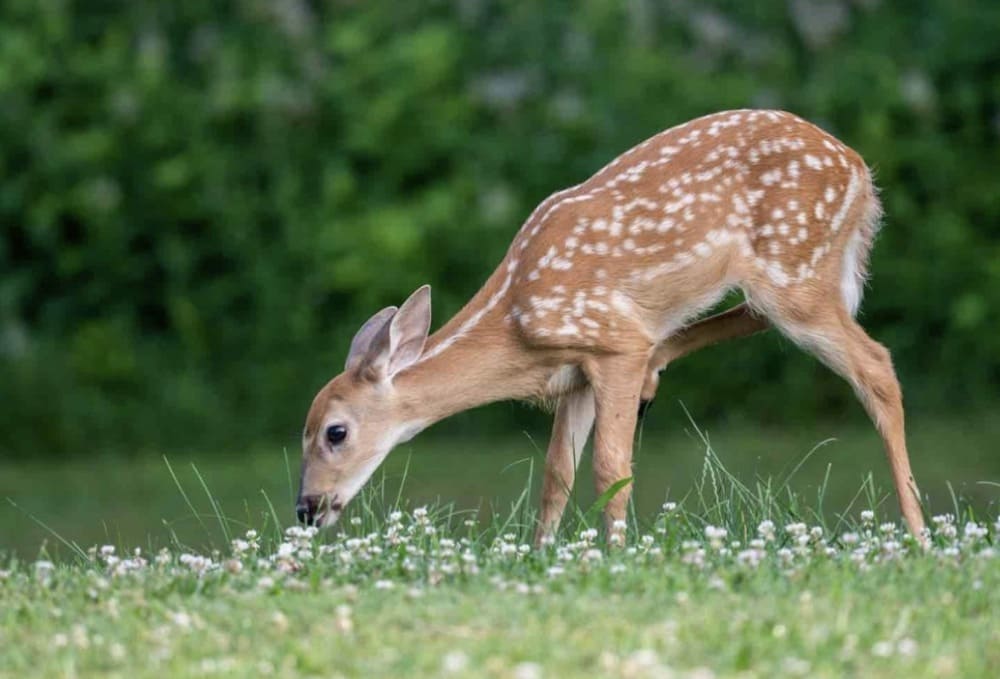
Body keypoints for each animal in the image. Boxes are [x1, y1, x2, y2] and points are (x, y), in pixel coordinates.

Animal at [297, 109, 926, 545]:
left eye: (335, 432)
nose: (306, 508)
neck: (516, 321)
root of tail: (862, 173)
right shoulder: (576, 373)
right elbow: (555, 474)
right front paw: (541, 554)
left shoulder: (610, 342)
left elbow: (609, 468)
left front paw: (616, 554)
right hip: (781, 280)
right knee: (746, 319)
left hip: (796, 270)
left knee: (876, 365)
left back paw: (919, 534)